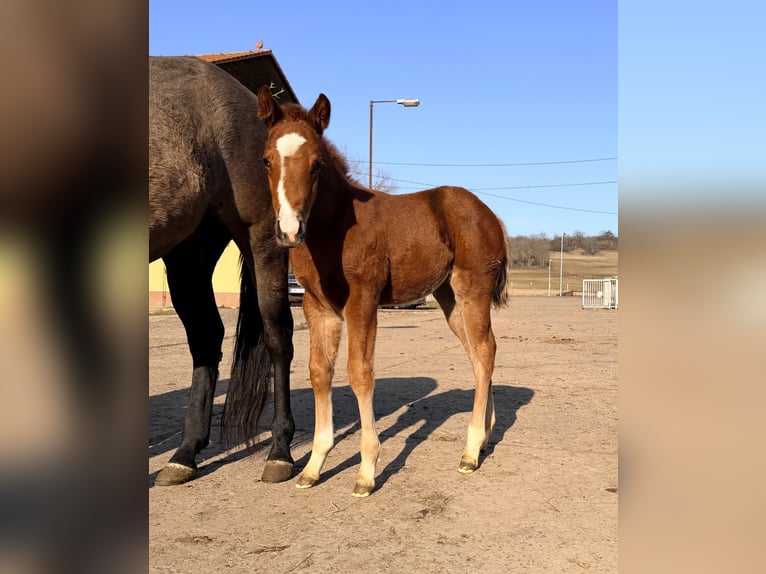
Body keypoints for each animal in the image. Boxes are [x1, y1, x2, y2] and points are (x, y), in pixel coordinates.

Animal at [149, 56, 296, 486]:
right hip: (188, 258)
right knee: (206, 338)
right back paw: (185, 453)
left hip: (262, 241)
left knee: (278, 337)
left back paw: (280, 451)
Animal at [255, 87, 511, 497]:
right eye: (266, 160)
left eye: (316, 164)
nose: (290, 230)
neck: (334, 227)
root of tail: (490, 215)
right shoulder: (318, 307)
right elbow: (319, 372)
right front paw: (313, 467)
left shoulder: (362, 300)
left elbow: (360, 373)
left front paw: (366, 471)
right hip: (448, 297)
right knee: (478, 355)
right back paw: (484, 437)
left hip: (473, 289)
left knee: (485, 352)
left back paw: (470, 452)